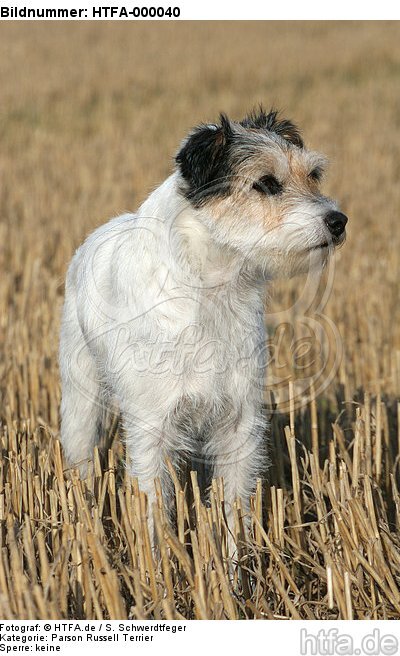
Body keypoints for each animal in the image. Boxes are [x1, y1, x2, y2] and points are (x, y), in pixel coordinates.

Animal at [58, 107, 346, 540]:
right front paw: (159, 559)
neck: (212, 288)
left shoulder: (240, 424)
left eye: (313, 174)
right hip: (81, 399)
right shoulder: (152, 427)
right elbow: (154, 511)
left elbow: (233, 510)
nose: (338, 221)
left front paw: (238, 560)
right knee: (82, 460)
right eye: (266, 183)